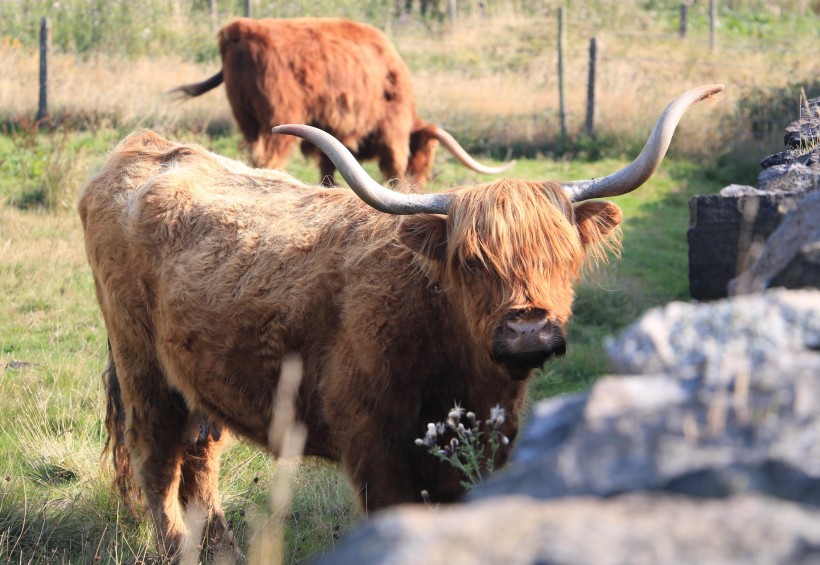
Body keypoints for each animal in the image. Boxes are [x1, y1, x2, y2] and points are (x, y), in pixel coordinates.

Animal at [171, 16, 512, 185]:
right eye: (428, 153)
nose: (421, 184)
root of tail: (239, 30)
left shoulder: (330, 130)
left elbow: (328, 167)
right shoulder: (393, 130)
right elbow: (394, 166)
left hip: (246, 118)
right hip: (279, 118)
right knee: (267, 157)